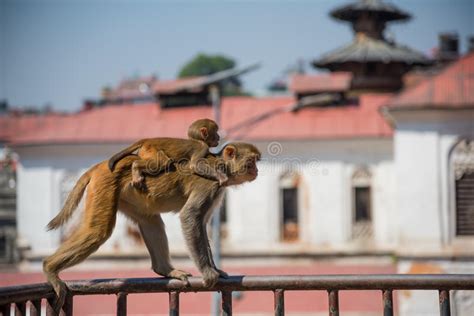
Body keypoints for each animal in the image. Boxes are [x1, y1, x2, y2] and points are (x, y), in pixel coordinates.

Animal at [43, 143, 262, 308]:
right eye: (251, 161)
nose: (257, 170)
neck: (221, 166)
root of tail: (100, 165)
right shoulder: (210, 185)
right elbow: (191, 217)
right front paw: (208, 273)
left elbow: (201, 224)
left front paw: (216, 269)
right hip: (105, 184)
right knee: (98, 232)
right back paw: (49, 268)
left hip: (128, 196)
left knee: (150, 221)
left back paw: (165, 269)